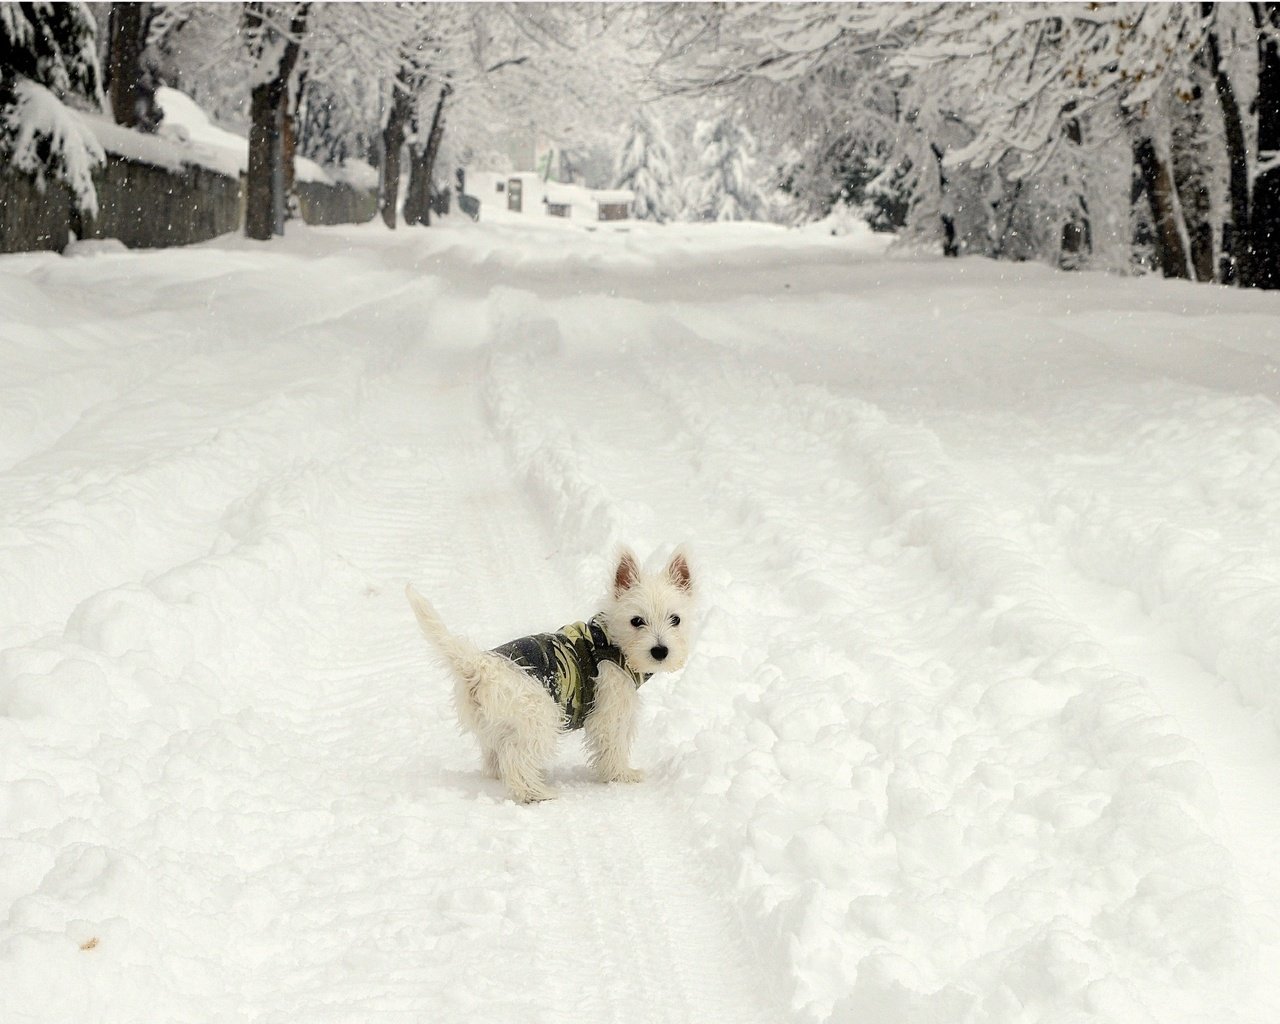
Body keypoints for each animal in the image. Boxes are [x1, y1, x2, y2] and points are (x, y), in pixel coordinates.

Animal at [404, 547, 696, 803]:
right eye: (636, 620)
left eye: (676, 619)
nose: (660, 651)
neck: (613, 641)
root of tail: (479, 665)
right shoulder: (610, 709)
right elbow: (614, 743)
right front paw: (621, 775)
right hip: (539, 715)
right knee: (516, 757)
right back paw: (536, 792)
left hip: (497, 724)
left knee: (496, 756)